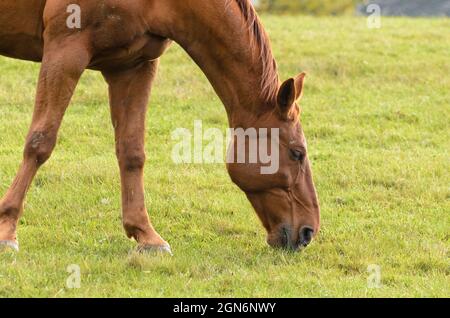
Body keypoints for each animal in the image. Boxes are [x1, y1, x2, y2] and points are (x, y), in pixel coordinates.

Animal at [0, 0, 320, 253]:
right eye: (297, 153)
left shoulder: (132, 65)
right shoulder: (66, 51)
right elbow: (40, 142)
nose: (308, 232)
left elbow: (131, 152)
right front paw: (7, 230)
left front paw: (146, 235)